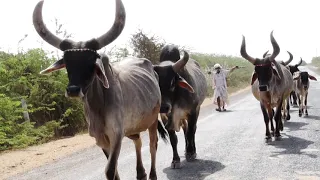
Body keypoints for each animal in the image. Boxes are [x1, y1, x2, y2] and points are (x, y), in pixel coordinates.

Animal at [31, 0, 168, 179]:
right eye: (67, 63)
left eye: (91, 62)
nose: (73, 90)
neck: (98, 105)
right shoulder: (101, 139)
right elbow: (114, 170)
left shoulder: (116, 135)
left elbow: (110, 169)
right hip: (133, 128)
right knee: (138, 141)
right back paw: (140, 172)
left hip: (152, 121)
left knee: (153, 146)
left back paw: (152, 174)